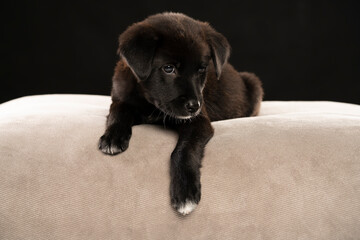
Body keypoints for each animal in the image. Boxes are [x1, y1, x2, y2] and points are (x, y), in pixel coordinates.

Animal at [100, 12, 262, 216]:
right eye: (168, 68)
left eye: (202, 68)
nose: (194, 106)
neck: (150, 104)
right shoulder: (121, 98)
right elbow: (117, 113)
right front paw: (112, 137)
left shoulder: (199, 122)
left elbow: (184, 150)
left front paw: (185, 192)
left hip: (253, 82)